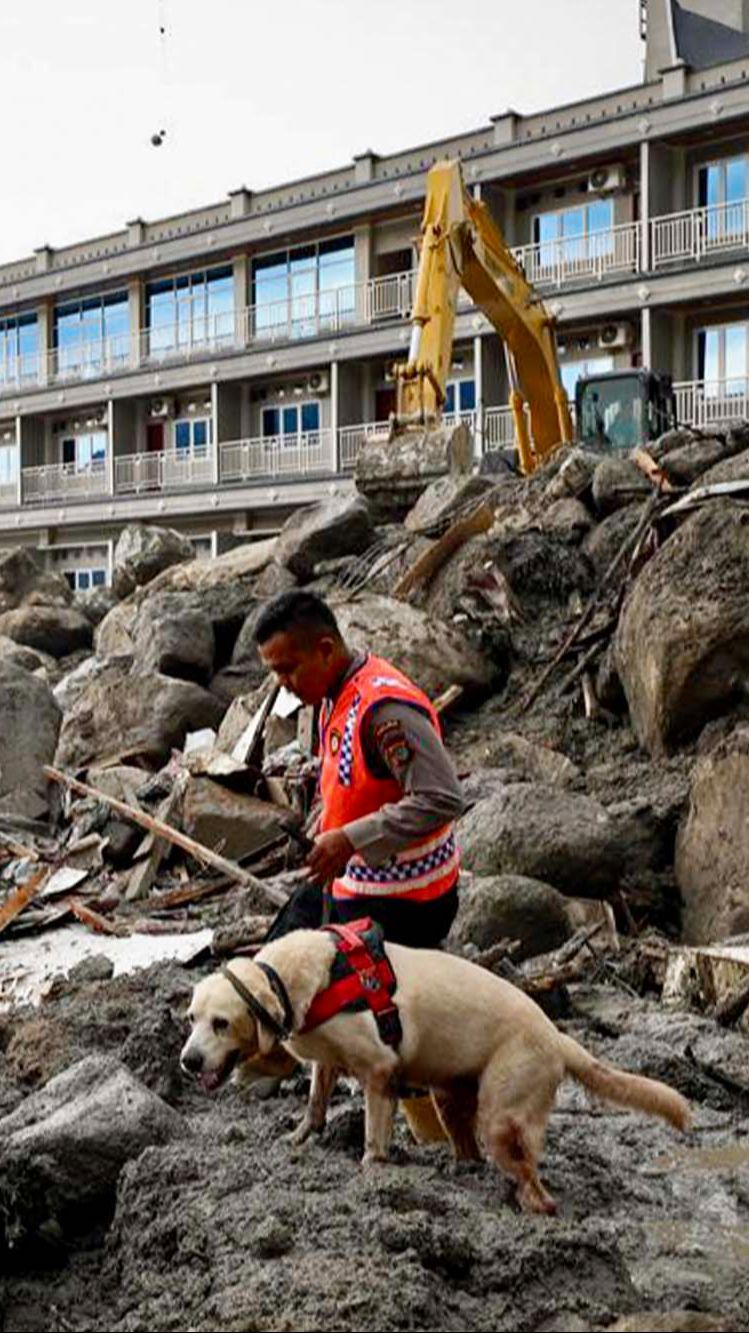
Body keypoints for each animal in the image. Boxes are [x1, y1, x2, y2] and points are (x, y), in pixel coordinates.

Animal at [181, 933, 687, 1215]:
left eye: (221, 1023)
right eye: (191, 1018)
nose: (188, 1062)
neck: (293, 978)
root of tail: (557, 1037)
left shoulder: (378, 1068)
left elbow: (374, 1130)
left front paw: (373, 1166)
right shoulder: (326, 1060)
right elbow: (315, 1099)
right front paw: (301, 1135)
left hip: (503, 1114)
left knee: (532, 1180)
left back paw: (530, 1204)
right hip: (451, 1098)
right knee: (470, 1148)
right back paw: (459, 1170)